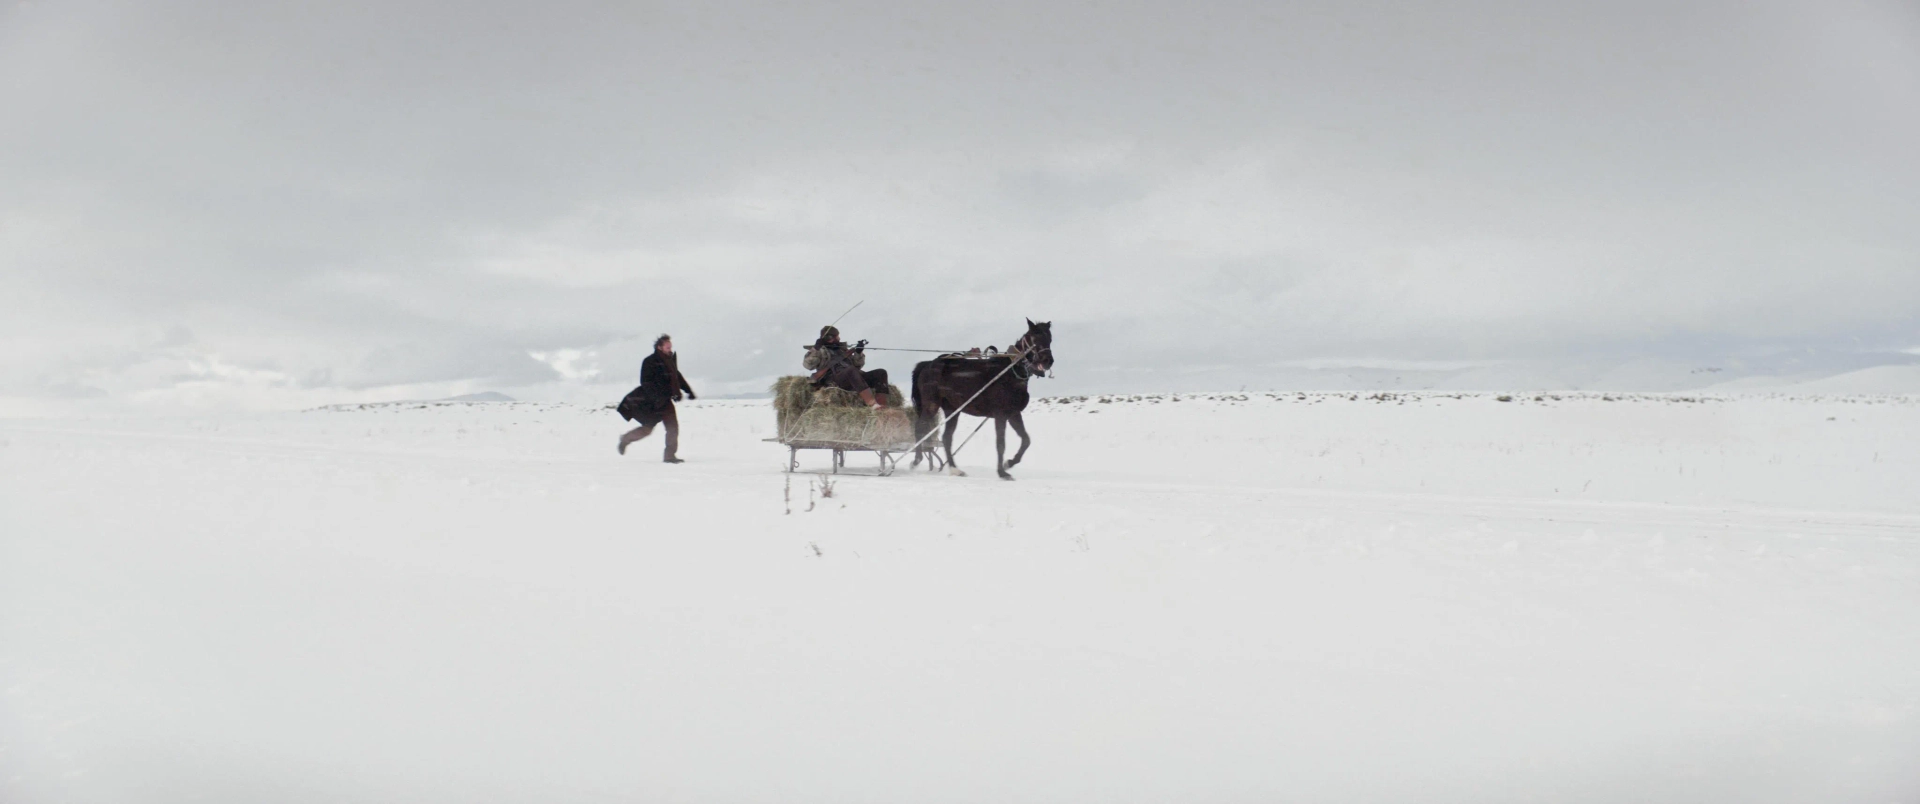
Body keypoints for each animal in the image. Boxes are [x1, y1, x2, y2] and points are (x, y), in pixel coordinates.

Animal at [910, 320, 1059, 481]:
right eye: (1033, 338)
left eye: (1050, 339)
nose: (1048, 361)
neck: (1010, 372)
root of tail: (928, 364)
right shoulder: (1000, 415)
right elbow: (1000, 444)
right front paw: (1002, 472)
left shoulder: (1013, 414)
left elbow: (1026, 440)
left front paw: (1009, 463)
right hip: (931, 404)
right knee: (920, 428)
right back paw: (916, 460)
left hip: (952, 410)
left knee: (946, 438)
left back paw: (955, 469)